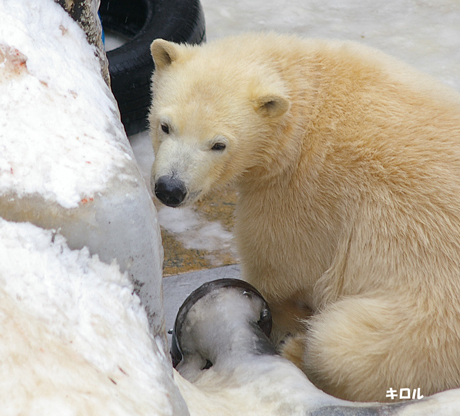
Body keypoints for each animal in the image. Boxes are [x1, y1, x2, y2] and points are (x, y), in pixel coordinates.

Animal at [149, 33, 460, 404]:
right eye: (165, 125)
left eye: (218, 144)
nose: (170, 188)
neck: (308, 101)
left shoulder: (300, 193)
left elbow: (278, 267)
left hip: (427, 317)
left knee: (343, 347)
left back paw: (298, 349)